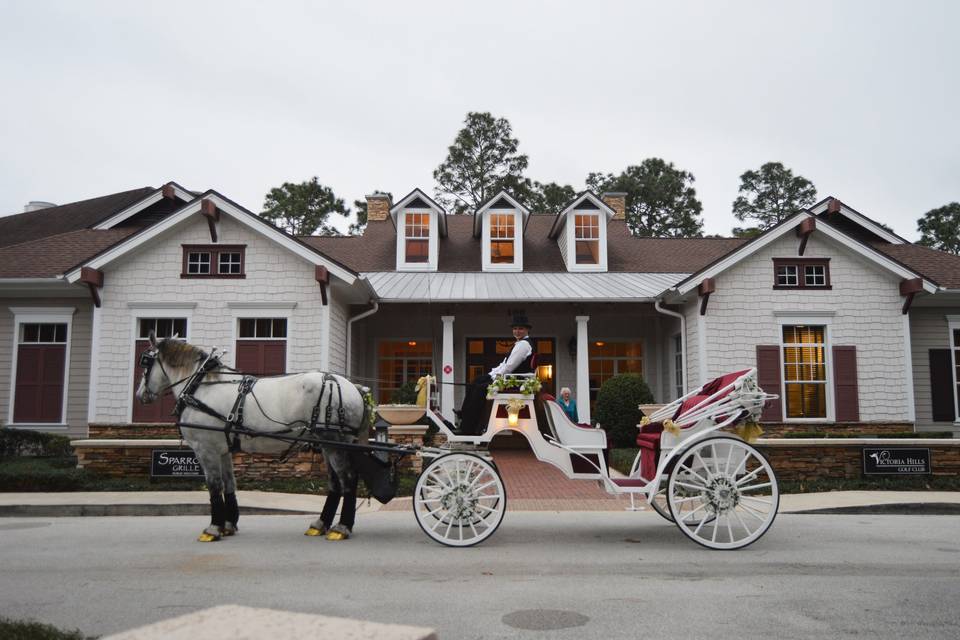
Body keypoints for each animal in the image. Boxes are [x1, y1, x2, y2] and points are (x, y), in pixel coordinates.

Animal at [137, 332, 370, 544]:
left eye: (145, 361)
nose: (140, 395)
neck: (200, 387)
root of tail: (352, 387)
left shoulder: (206, 448)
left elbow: (214, 486)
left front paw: (213, 528)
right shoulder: (223, 450)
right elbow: (229, 484)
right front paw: (228, 525)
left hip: (334, 442)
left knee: (348, 478)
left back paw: (342, 527)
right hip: (327, 444)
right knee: (335, 482)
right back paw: (321, 524)